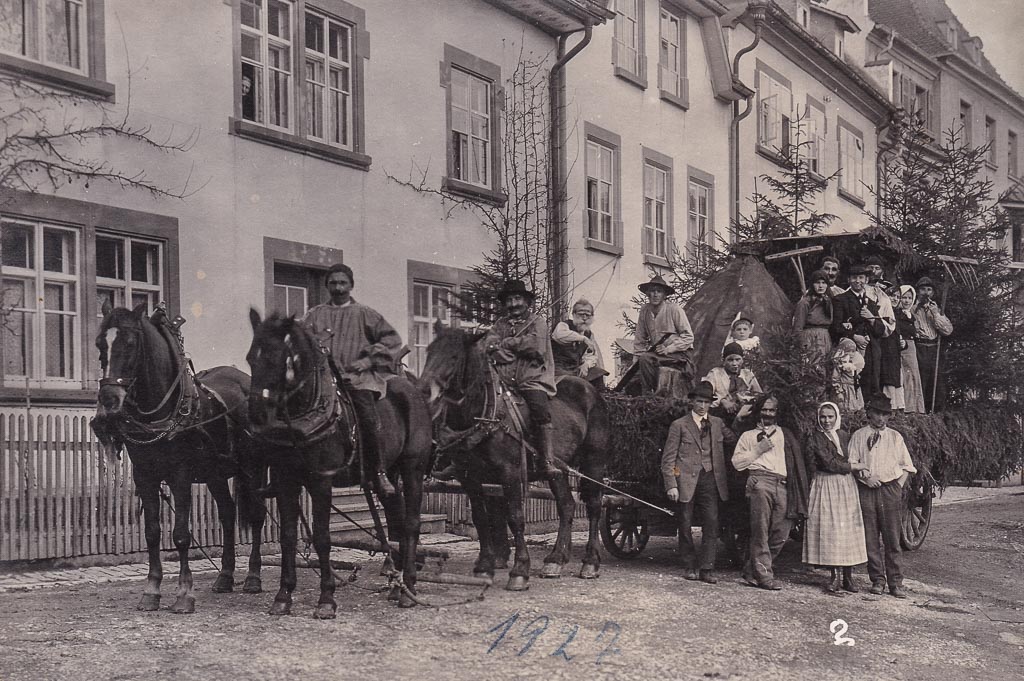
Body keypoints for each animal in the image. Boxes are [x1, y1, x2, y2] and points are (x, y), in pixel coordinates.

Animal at [92, 303, 266, 610]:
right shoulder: (145, 477)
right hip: (216, 475)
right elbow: (152, 533)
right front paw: (151, 591)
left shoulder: (180, 476)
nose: (110, 401)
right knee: (227, 514)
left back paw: (253, 578)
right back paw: (225, 577)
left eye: (131, 343)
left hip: (253, 469)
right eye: (101, 344)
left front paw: (185, 594)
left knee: (257, 516)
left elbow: (182, 535)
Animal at [246, 311, 432, 614]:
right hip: (389, 476)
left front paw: (327, 599)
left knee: (412, 523)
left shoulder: (321, 481)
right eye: (251, 358)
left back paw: (409, 589)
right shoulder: (287, 481)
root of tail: (413, 390)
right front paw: (284, 595)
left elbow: (323, 537)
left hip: (413, 469)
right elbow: (288, 536)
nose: (256, 414)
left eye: (276, 359)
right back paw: (397, 587)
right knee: (397, 522)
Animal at [419, 323, 610, 589]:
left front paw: (519, 570)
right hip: (557, 471)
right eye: (428, 351)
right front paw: (484, 567)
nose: (424, 390)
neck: (485, 414)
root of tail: (591, 390)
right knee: (567, 505)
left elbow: (515, 517)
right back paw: (556, 559)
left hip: (594, 463)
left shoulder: (510, 473)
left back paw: (590, 562)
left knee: (593, 506)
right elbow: (481, 518)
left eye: (455, 356)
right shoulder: (470, 477)